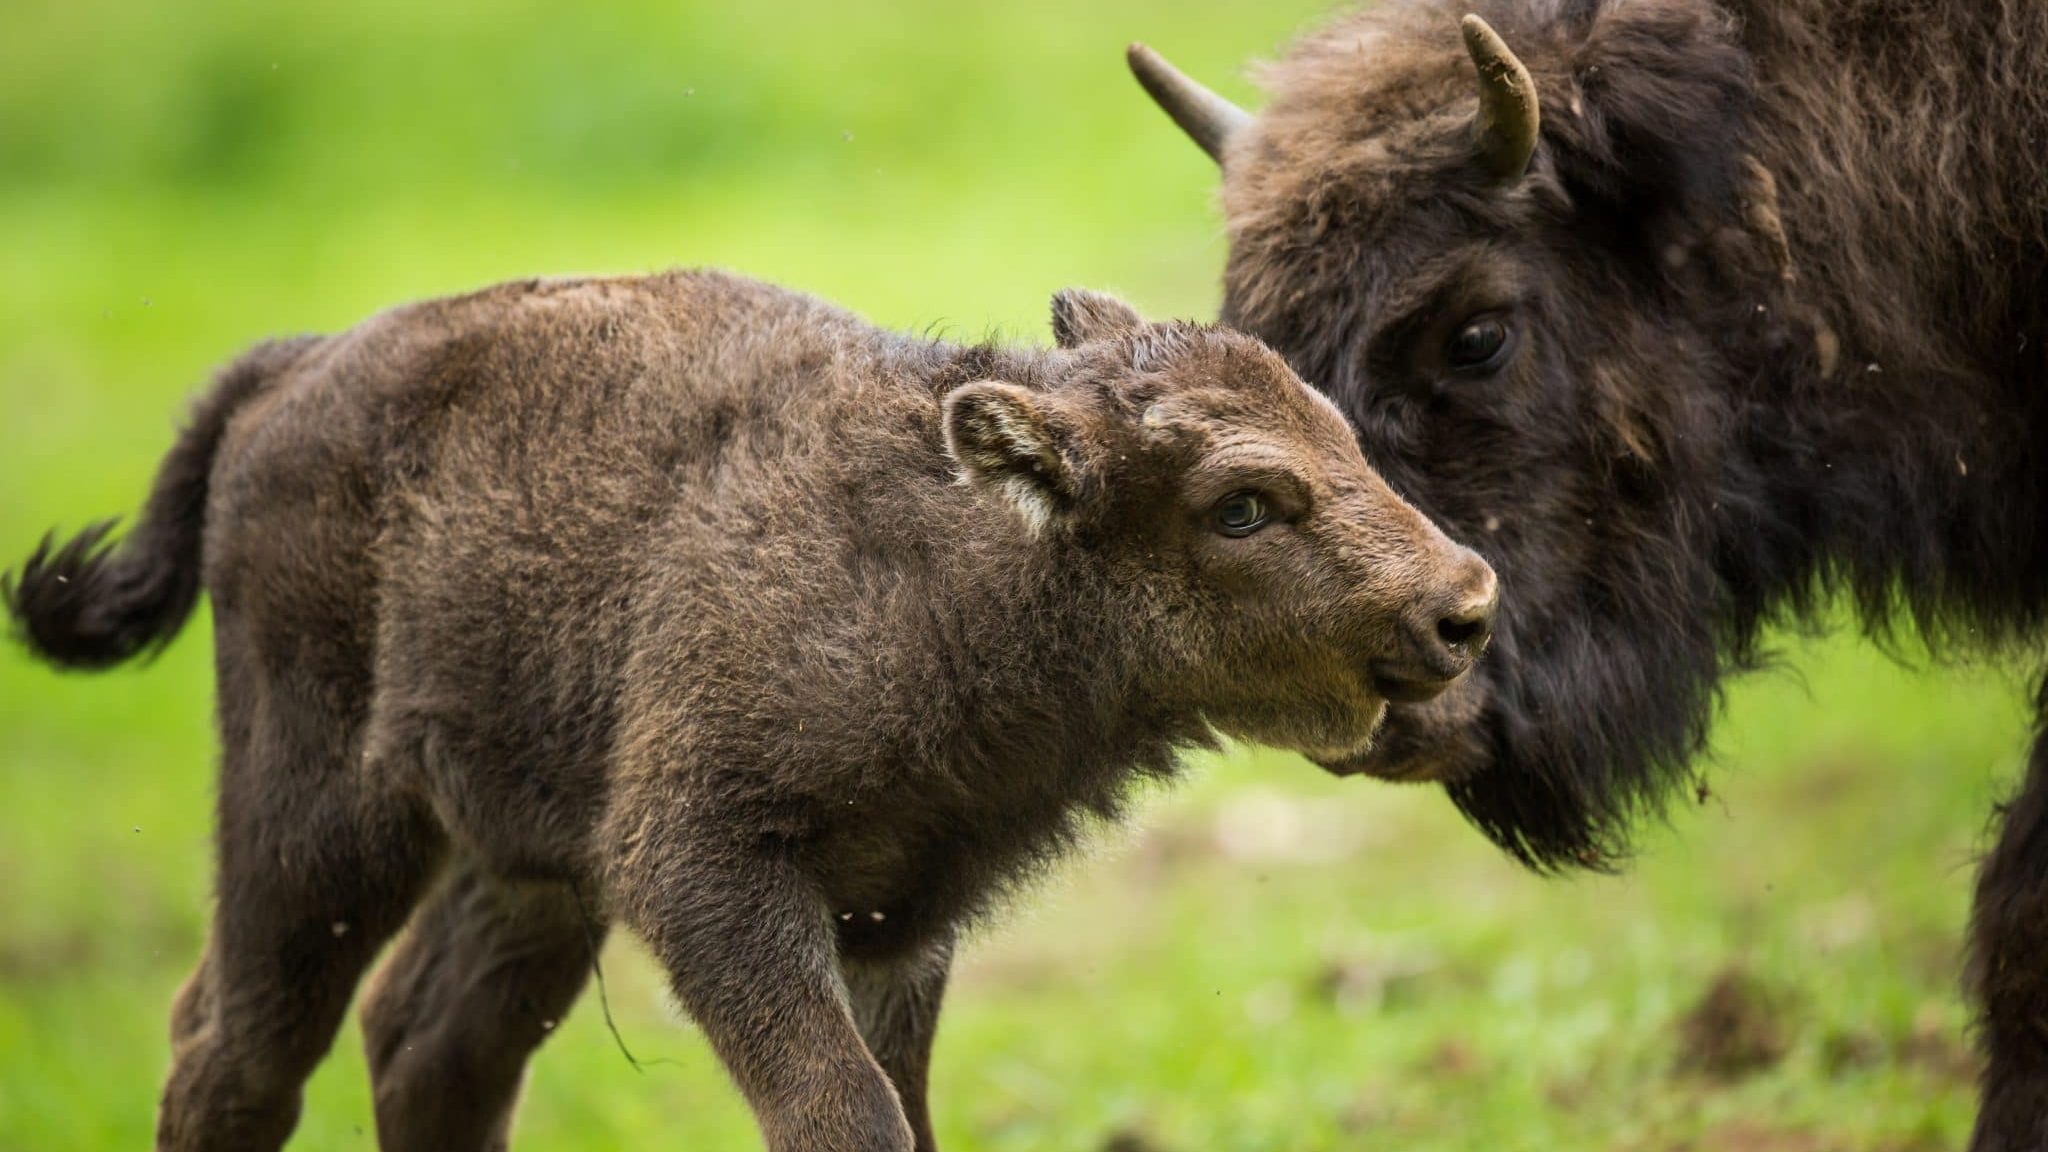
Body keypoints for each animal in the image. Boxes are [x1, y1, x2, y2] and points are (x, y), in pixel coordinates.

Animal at [8, 270, 1499, 1147]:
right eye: (1239, 502)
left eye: (1340, 430)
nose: (1461, 606)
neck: (959, 559)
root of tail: (290, 371)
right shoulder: (710, 872)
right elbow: (845, 1112)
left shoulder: (898, 919)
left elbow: (902, 1104)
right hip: (318, 816)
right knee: (240, 1044)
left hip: (530, 869)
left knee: (429, 1046)